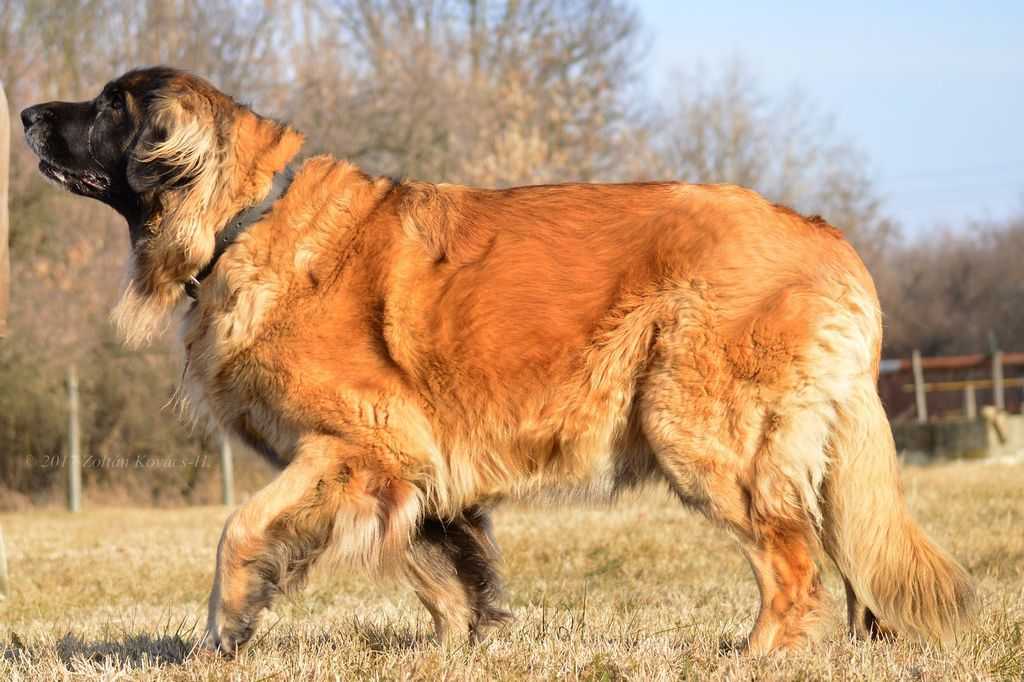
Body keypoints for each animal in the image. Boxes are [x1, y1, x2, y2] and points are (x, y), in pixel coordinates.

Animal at [19, 67, 970, 655]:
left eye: (109, 108)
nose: (25, 115)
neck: (247, 216)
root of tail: (825, 234)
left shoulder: (358, 444)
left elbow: (240, 529)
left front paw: (227, 626)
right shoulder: (411, 465)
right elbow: (441, 566)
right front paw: (464, 641)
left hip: (698, 432)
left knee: (793, 557)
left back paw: (759, 651)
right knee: (838, 556)